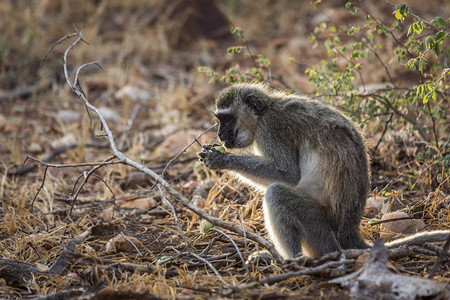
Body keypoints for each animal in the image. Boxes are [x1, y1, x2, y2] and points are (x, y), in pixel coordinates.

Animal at [199, 82, 450, 260]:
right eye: (219, 119)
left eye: (227, 118)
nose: (220, 134)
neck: (265, 111)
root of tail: (348, 234)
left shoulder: (271, 129)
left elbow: (287, 174)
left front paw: (221, 159)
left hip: (321, 233)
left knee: (277, 193)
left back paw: (291, 261)